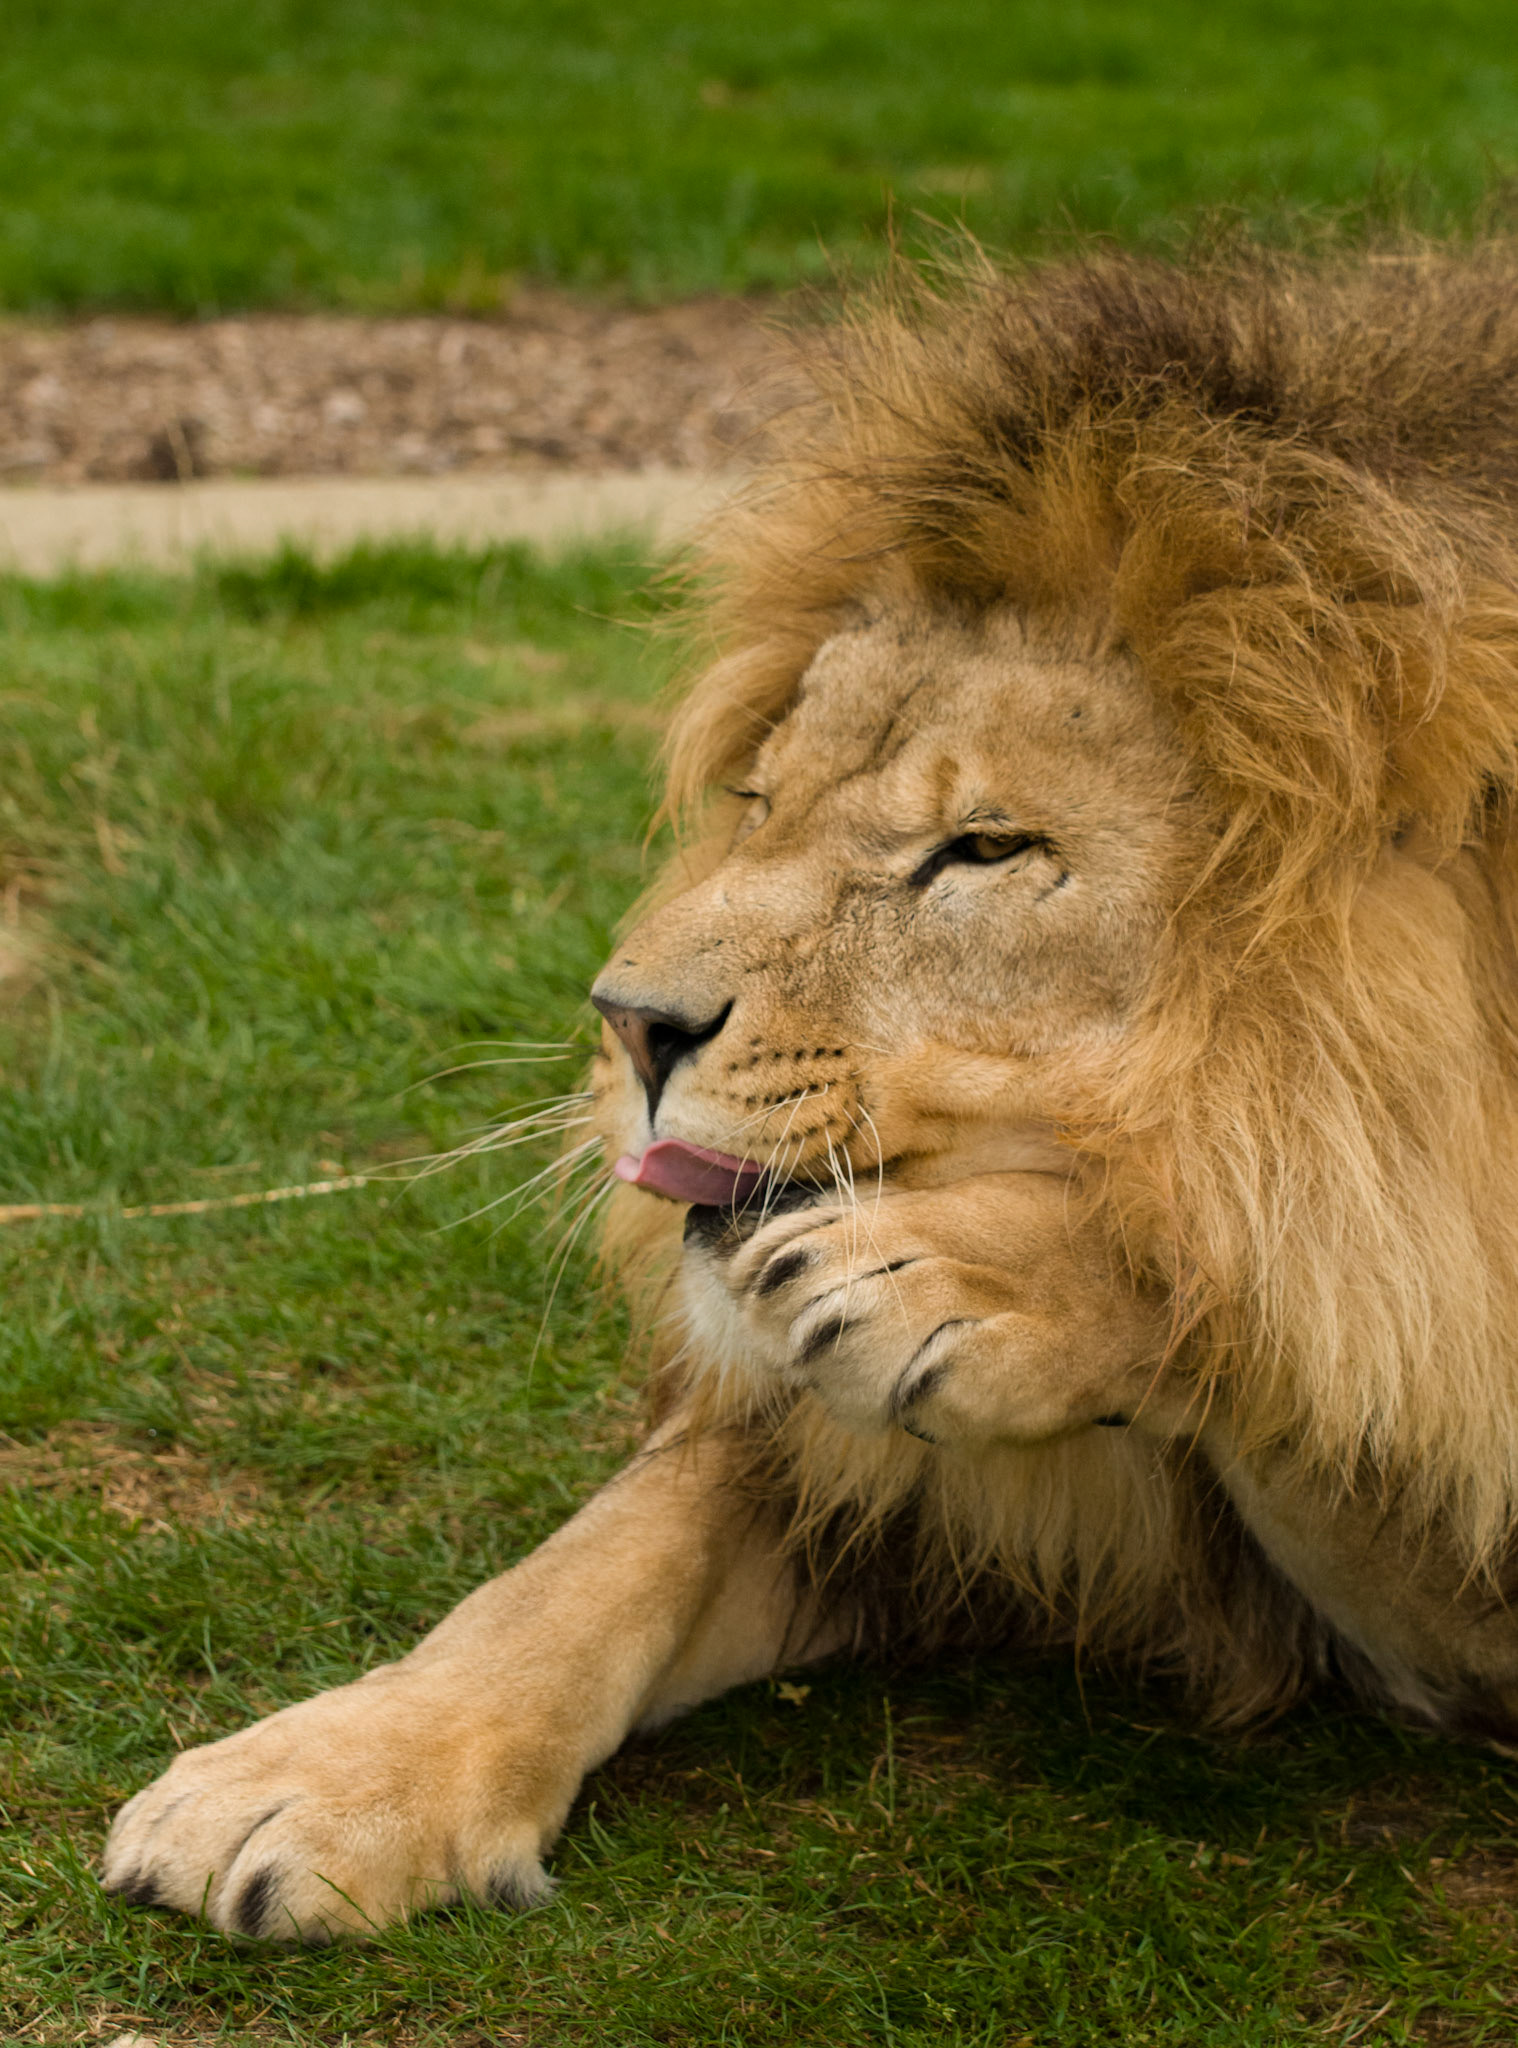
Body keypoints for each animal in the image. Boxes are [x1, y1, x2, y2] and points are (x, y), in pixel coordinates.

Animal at [103, 246, 1518, 1942]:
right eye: (762, 802)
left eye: (984, 850)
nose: (627, 1025)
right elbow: (596, 1556)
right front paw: (326, 1773)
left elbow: (1281, 1314)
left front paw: (960, 1277)